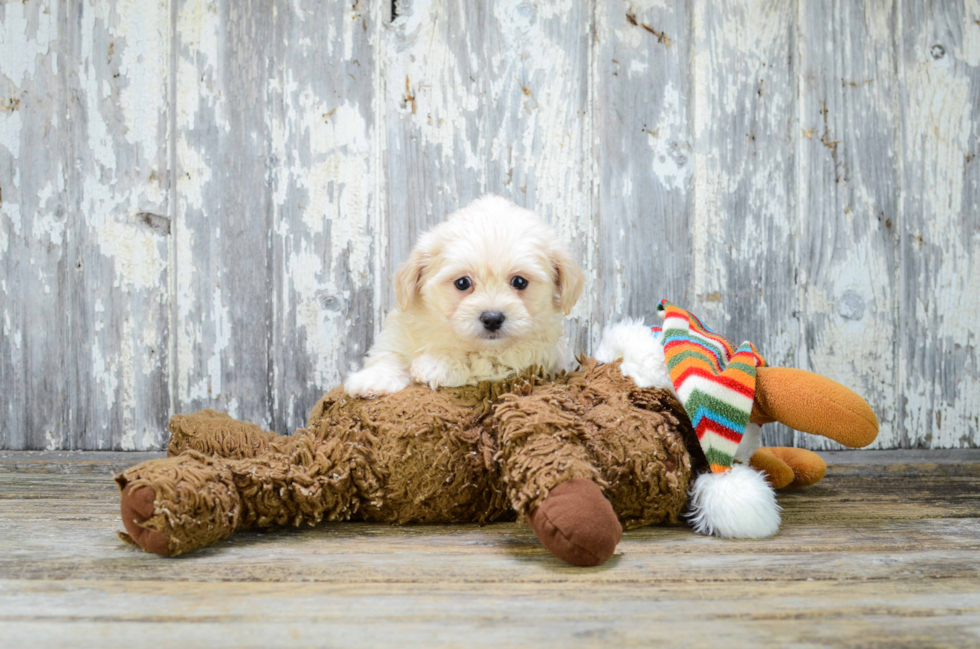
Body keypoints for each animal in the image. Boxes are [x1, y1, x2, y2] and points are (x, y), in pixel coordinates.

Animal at [346, 192, 580, 394]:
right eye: (462, 283)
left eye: (520, 282)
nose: (492, 319)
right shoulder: (401, 331)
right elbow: (389, 354)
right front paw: (373, 378)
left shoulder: (531, 355)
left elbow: (478, 360)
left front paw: (437, 364)